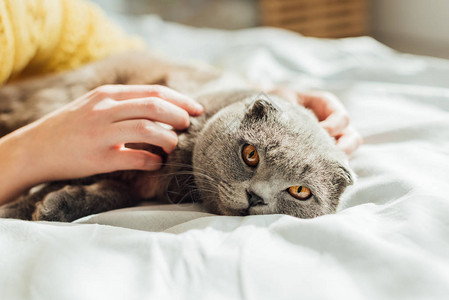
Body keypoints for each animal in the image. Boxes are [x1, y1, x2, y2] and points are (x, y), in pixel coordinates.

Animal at [0, 51, 352, 220]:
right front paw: (17, 210)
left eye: (299, 191)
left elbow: (117, 193)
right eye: (250, 155)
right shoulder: (112, 146)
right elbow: (58, 176)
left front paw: (56, 205)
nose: (256, 197)